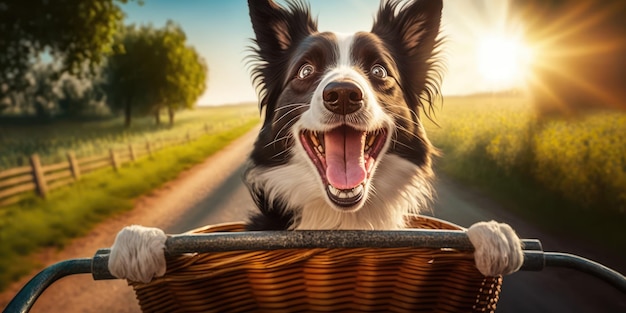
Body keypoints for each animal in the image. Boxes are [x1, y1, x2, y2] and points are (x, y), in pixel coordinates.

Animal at [107, 0, 520, 282]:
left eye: (378, 71)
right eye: (306, 71)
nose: (343, 94)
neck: (339, 225)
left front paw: (494, 234)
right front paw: (137, 242)